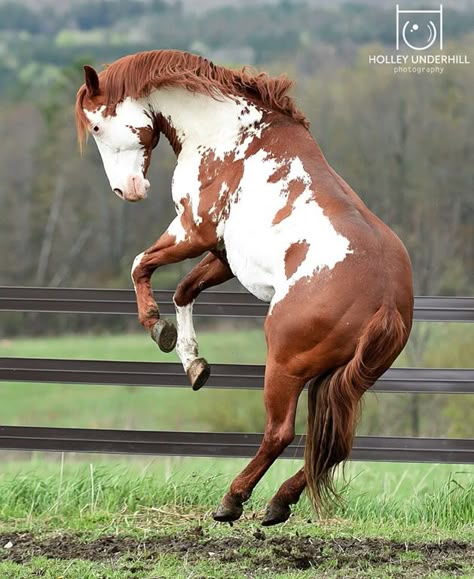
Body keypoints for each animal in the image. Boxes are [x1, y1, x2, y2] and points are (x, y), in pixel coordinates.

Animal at [76, 52, 412, 528]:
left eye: (97, 126)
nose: (128, 191)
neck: (230, 134)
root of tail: (386, 303)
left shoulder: (193, 232)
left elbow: (140, 265)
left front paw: (156, 327)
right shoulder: (222, 255)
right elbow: (183, 291)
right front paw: (193, 363)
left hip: (285, 365)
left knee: (280, 433)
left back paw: (233, 500)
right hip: (343, 379)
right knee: (332, 444)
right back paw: (278, 502)